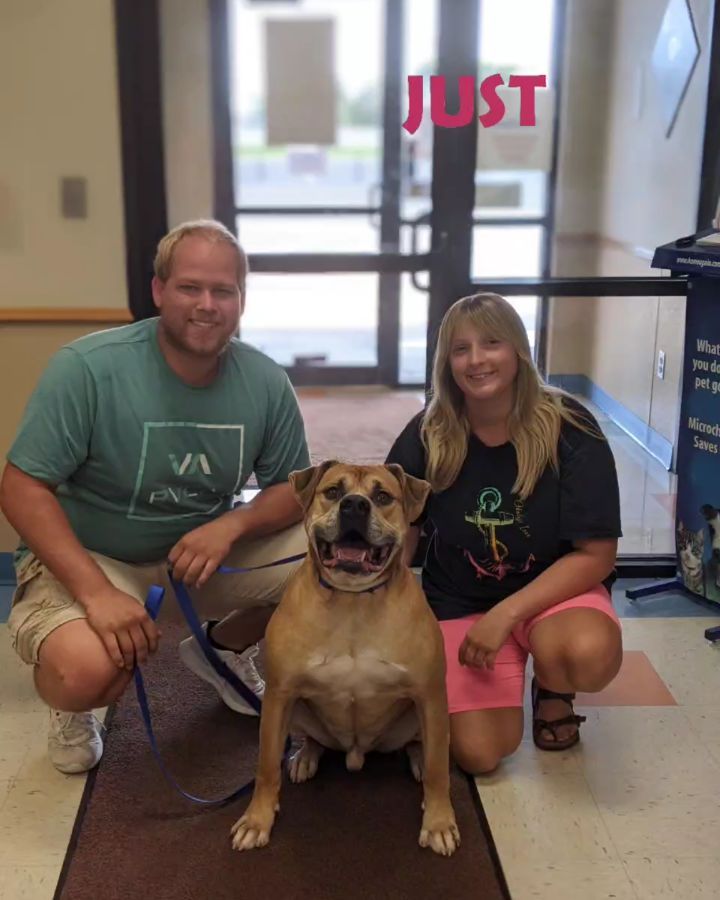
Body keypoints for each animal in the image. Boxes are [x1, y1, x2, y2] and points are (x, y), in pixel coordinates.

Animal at [231, 464, 458, 856]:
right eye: (333, 492)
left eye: (382, 496)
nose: (354, 505)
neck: (353, 600)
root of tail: (357, 752)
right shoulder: (279, 695)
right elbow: (266, 766)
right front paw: (257, 820)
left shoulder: (429, 694)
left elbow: (438, 769)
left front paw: (439, 822)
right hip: (297, 709)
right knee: (312, 739)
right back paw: (306, 756)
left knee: (423, 746)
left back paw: (416, 757)